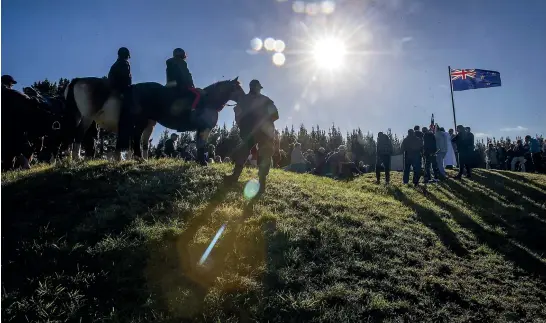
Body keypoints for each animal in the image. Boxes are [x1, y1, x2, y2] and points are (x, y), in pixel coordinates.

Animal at [62, 77, 244, 163]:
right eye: (237, 88)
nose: (245, 98)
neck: (209, 100)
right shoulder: (204, 128)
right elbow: (202, 146)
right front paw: (203, 161)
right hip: (90, 117)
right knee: (80, 134)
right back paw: (77, 157)